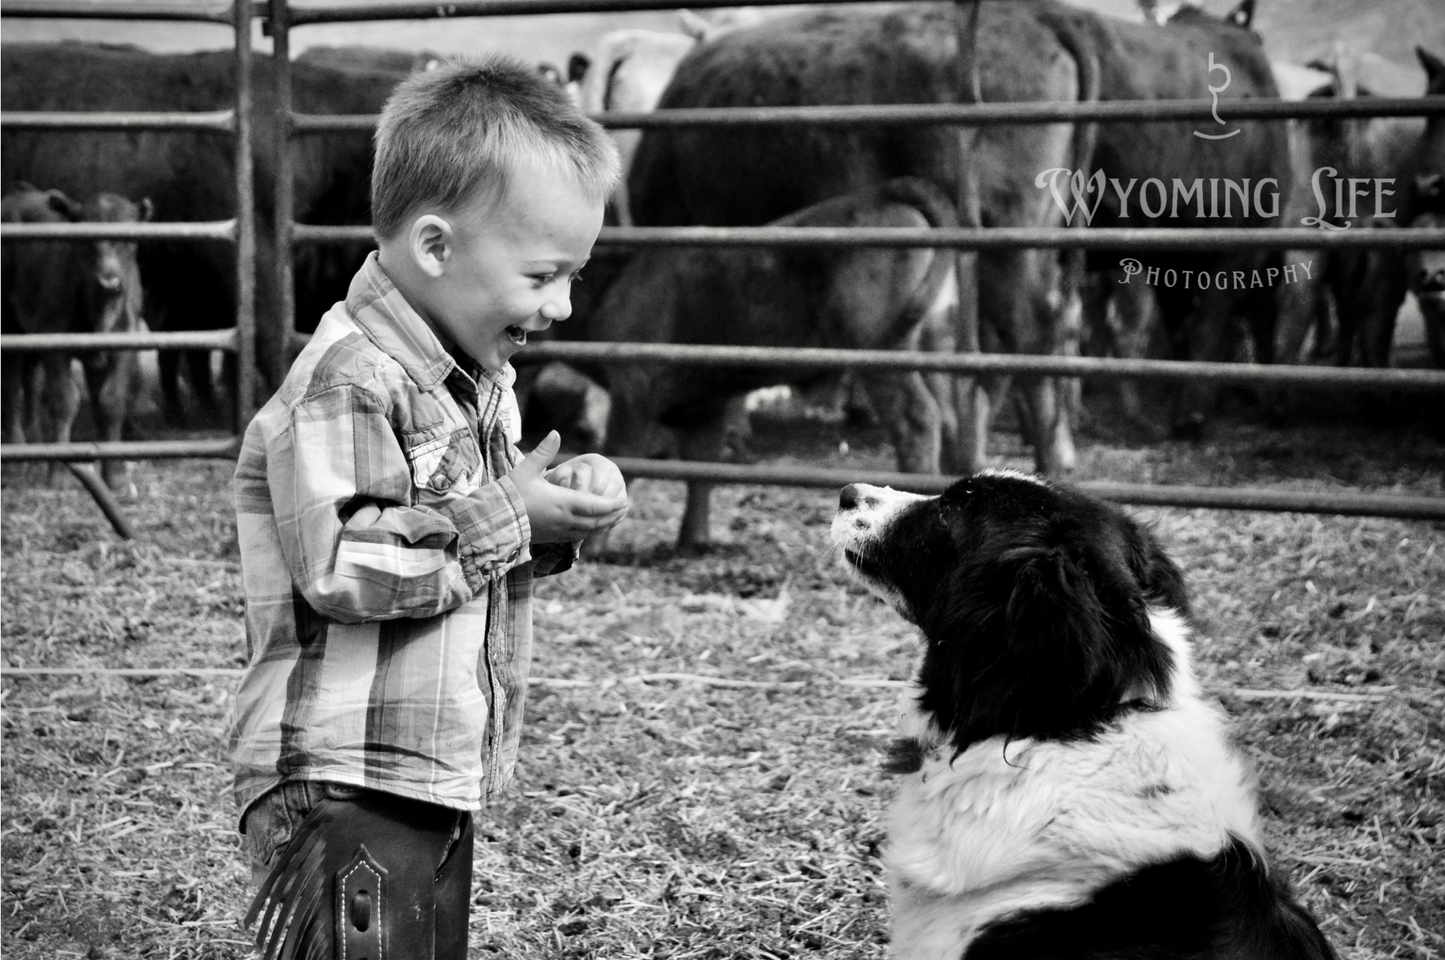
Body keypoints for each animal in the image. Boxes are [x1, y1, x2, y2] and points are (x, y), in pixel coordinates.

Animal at [2, 183, 152, 491]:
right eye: (84, 240)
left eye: (128, 240)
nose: (109, 281)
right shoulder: (54, 339)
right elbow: (63, 400)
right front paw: (58, 474)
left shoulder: (125, 342)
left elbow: (111, 402)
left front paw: (116, 475)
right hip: (9, 323)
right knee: (10, 385)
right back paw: (17, 447)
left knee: (32, 381)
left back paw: (34, 438)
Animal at [586, 174, 959, 546]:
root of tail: (884, 193)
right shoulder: (706, 404)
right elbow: (700, 469)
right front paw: (693, 540)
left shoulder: (633, 391)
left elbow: (622, 459)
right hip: (931, 343)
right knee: (947, 413)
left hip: (882, 353)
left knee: (916, 419)